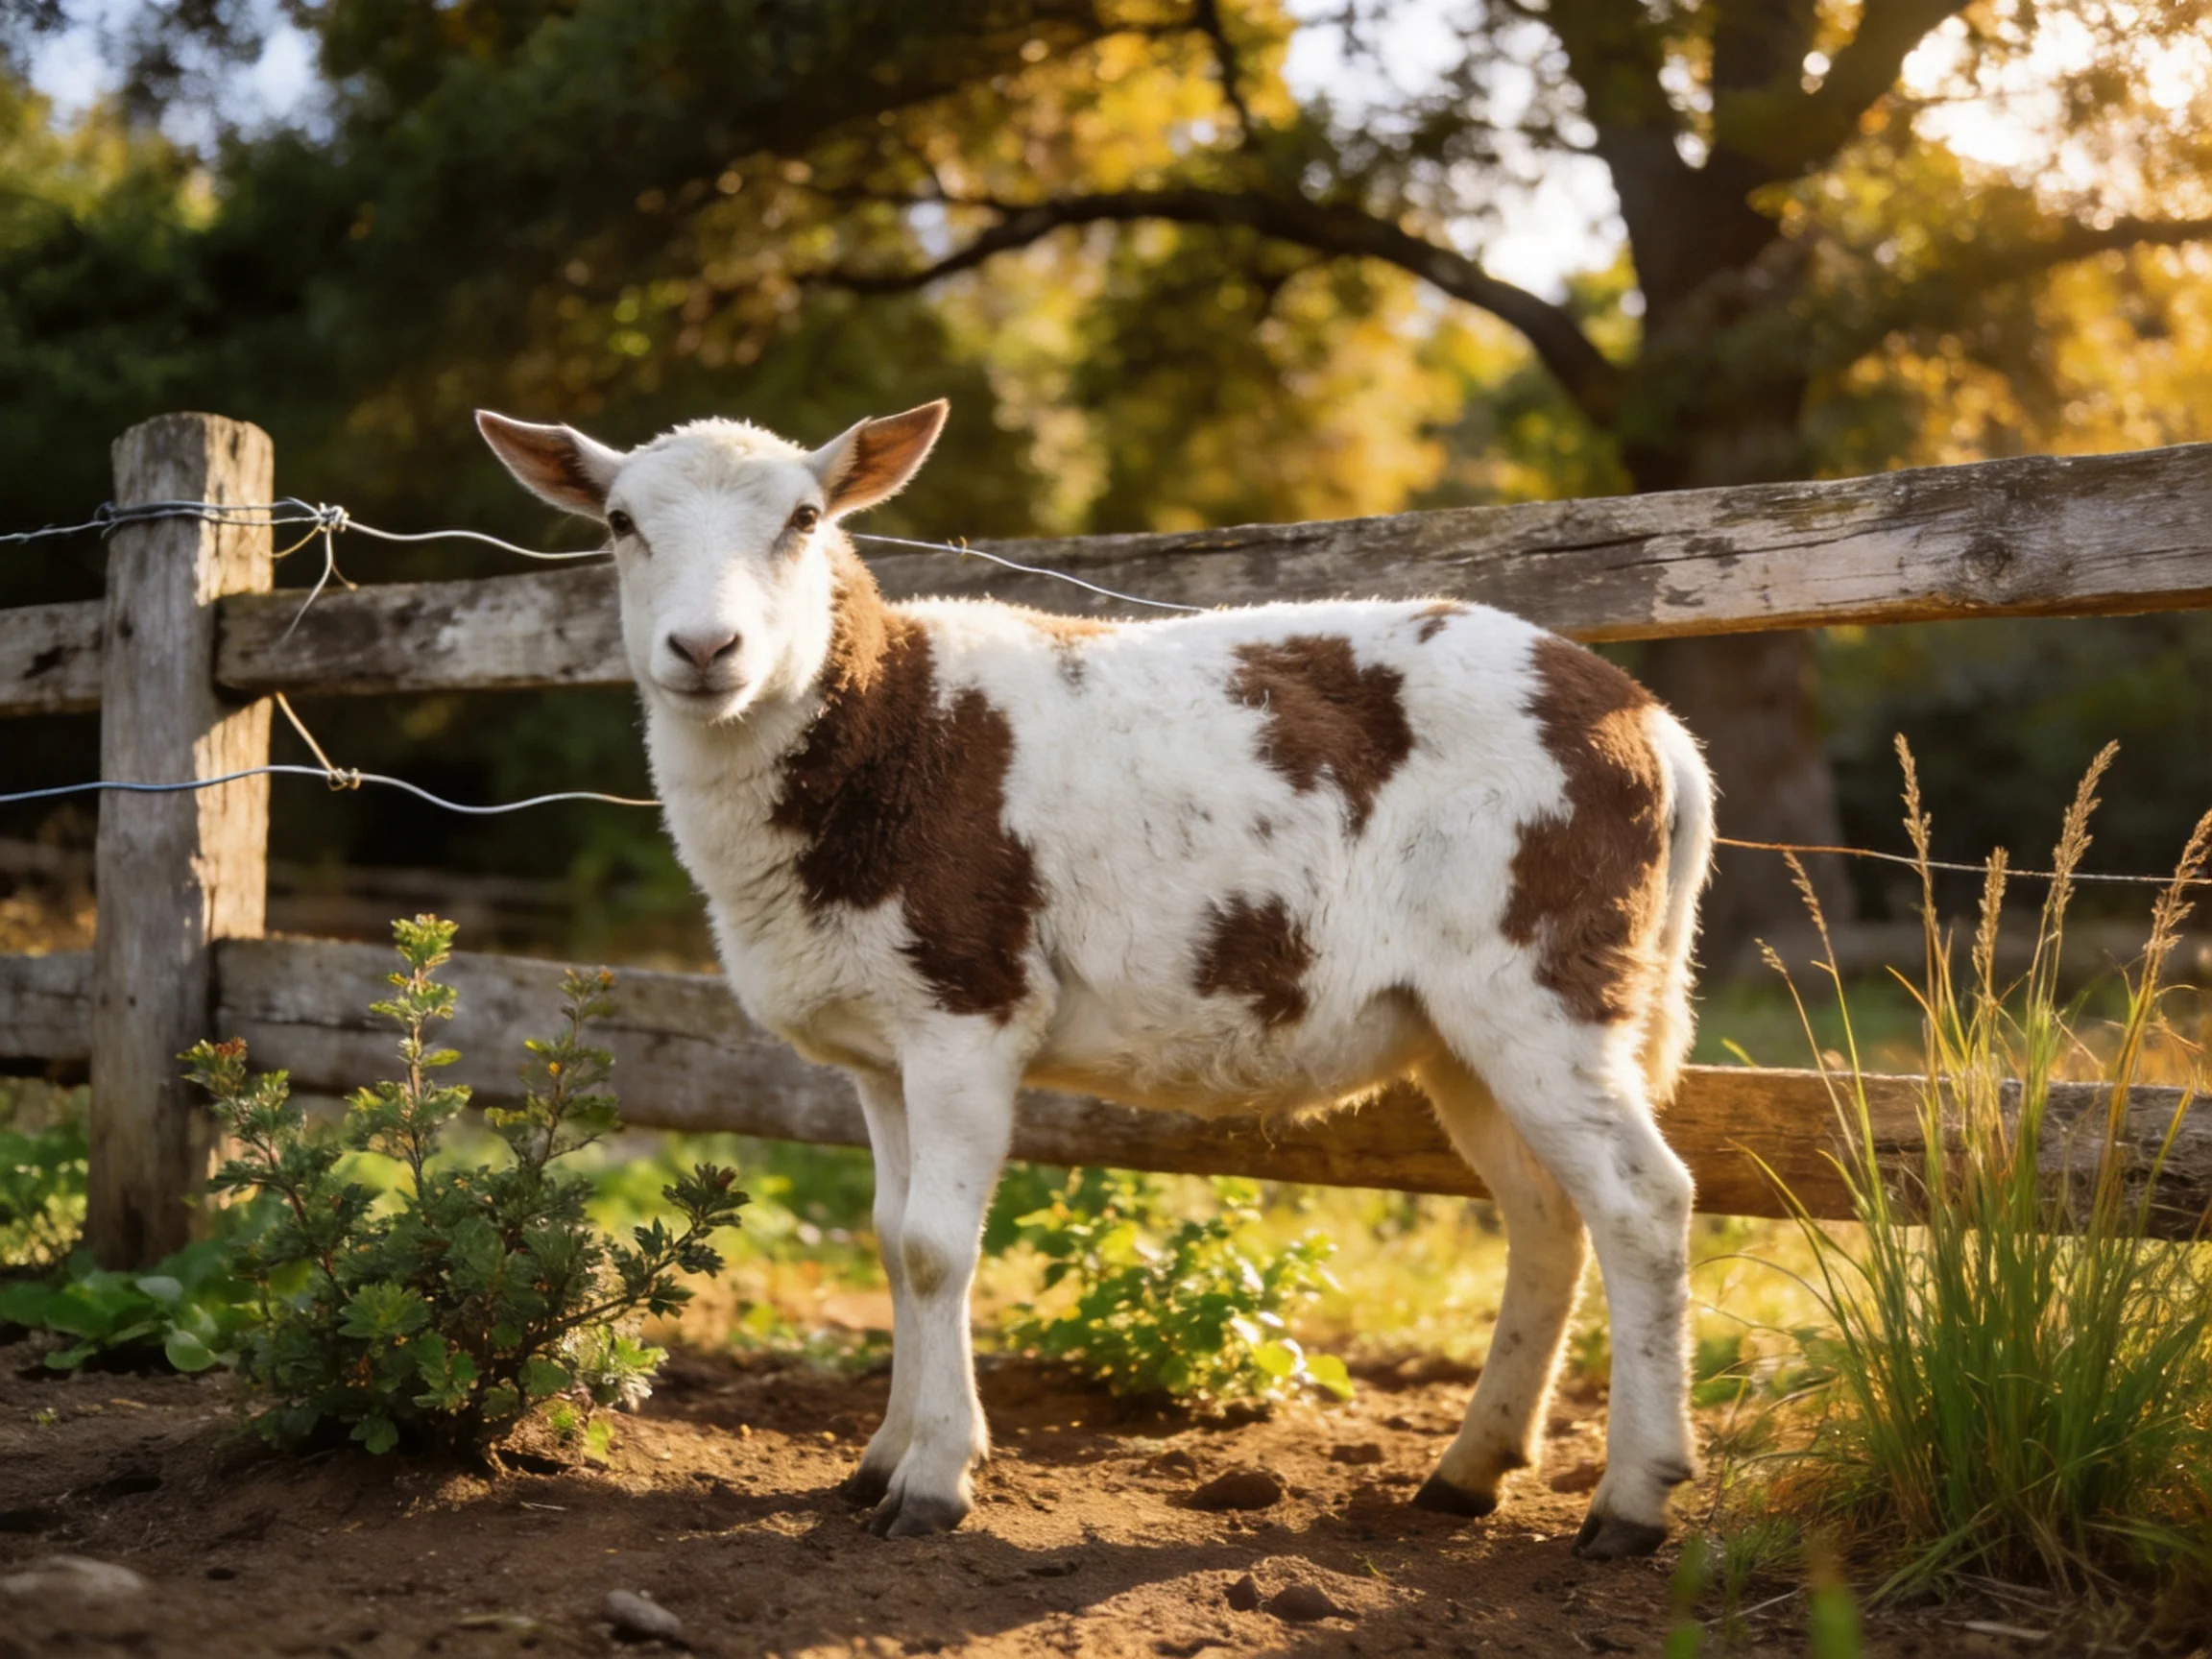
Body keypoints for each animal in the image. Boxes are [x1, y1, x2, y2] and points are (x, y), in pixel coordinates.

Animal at [476, 399, 1715, 1559]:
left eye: (805, 519)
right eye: (619, 523)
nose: (704, 649)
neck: (886, 729)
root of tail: (1653, 724)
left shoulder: (967, 1005)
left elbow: (935, 1248)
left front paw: (933, 1484)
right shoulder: (878, 1043)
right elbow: (888, 1238)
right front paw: (879, 1462)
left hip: (1545, 972)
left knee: (1642, 1201)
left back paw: (1633, 1499)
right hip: (1462, 1024)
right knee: (1547, 1216)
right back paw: (1471, 1469)